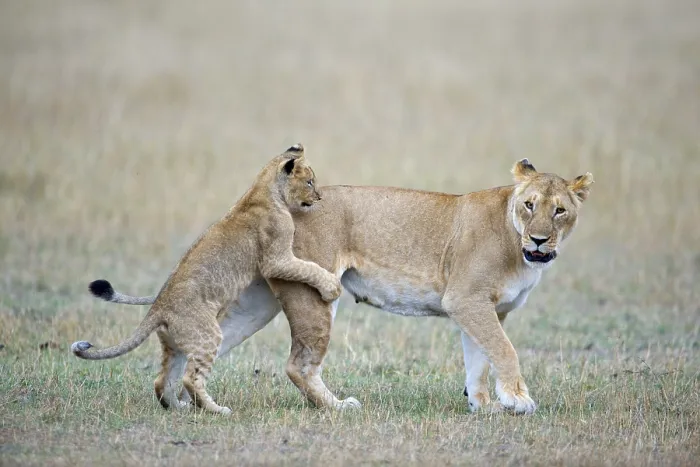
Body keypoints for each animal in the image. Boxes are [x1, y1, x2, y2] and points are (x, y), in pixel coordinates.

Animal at [72, 143, 342, 415]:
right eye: (309, 181)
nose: (319, 197)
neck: (261, 188)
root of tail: (158, 307)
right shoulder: (277, 259)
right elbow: (308, 268)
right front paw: (331, 287)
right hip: (208, 336)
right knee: (191, 378)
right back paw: (217, 410)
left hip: (173, 344)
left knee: (163, 380)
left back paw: (179, 408)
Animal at [87, 159, 593, 415]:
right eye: (529, 206)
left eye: (559, 211)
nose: (540, 239)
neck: (518, 246)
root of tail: (269, 204)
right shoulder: (466, 299)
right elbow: (504, 351)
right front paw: (519, 400)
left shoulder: (482, 309)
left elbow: (478, 360)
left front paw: (484, 405)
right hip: (315, 294)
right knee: (298, 366)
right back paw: (336, 406)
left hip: (255, 305)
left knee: (186, 352)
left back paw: (176, 400)